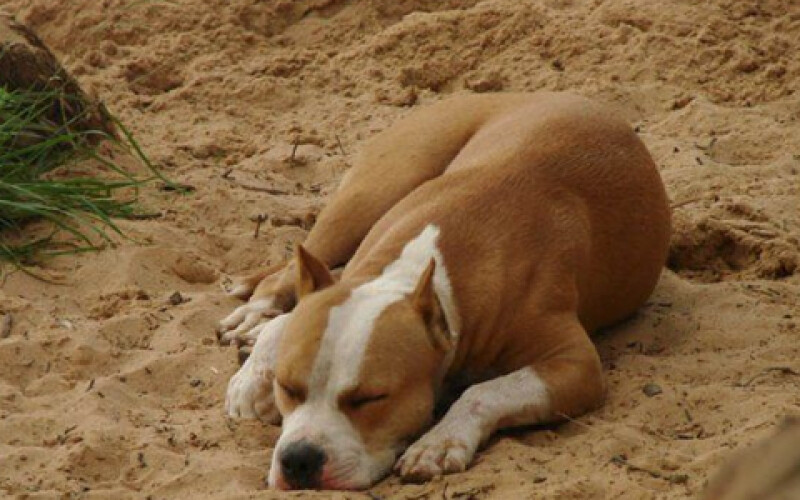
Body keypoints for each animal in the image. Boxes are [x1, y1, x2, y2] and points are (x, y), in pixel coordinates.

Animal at [216, 92, 672, 490]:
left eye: (370, 399)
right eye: (289, 389)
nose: (299, 459)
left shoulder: (576, 364)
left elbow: (483, 391)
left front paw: (437, 442)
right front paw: (254, 375)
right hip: (372, 194)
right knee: (294, 269)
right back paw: (256, 317)